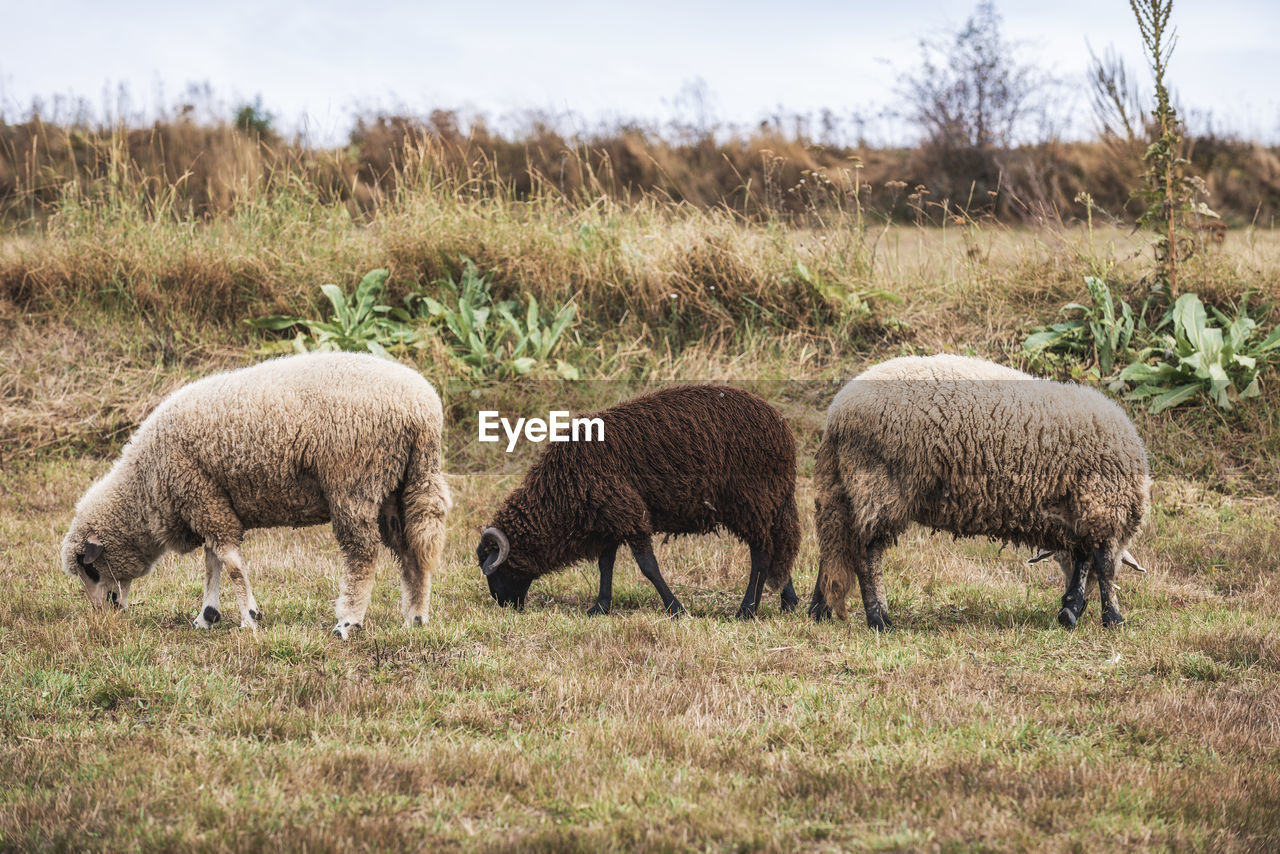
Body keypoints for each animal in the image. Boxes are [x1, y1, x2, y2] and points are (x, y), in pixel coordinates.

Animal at [60, 350, 453, 637]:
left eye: (90, 570)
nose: (103, 613)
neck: (146, 486)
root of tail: (422, 411)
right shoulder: (209, 500)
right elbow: (213, 561)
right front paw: (207, 616)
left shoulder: (199, 492)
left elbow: (231, 562)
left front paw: (249, 617)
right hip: (401, 485)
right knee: (411, 550)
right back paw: (415, 618)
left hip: (354, 479)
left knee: (363, 554)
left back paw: (348, 622)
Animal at [481, 386, 798, 622]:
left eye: (497, 567)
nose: (504, 605)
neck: (558, 493)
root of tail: (784, 430)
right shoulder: (609, 519)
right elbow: (605, 565)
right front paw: (600, 607)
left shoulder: (629, 515)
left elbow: (648, 567)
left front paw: (675, 609)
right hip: (770, 502)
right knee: (779, 547)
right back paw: (788, 602)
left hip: (751, 501)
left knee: (761, 555)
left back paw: (746, 611)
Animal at [808, 353, 1152, 627]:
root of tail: (838, 413)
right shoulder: (1103, 508)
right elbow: (1105, 567)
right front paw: (1112, 618)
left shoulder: (1082, 518)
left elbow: (1084, 562)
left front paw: (1071, 610)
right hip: (881, 484)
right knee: (866, 553)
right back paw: (879, 618)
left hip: (841, 487)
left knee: (833, 543)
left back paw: (819, 611)